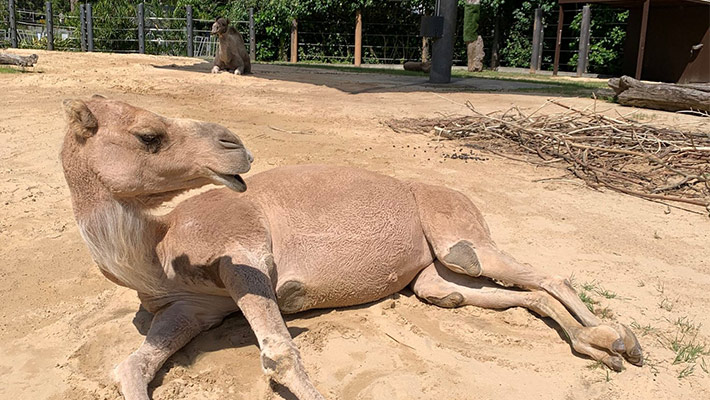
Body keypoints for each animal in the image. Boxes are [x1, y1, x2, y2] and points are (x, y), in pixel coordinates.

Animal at [61, 96, 643, 400]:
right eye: (148, 136)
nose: (235, 145)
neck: (160, 252)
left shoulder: (243, 255)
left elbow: (279, 354)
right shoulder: (190, 309)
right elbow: (131, 368)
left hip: (458, 233)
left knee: (543, 274)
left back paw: (624, 341)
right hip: (434, 277)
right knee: (490, 292)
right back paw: (602, 347)